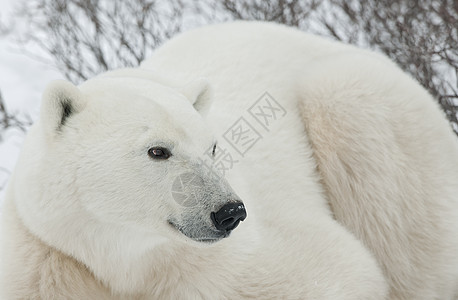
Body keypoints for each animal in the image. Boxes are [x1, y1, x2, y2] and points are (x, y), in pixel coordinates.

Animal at [0, 20, 456, 298]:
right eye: (157, 150)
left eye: (214, 147)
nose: (229, 212)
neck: (124, 262)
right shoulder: (47, 262)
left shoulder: (226, 267)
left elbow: (342, 270)